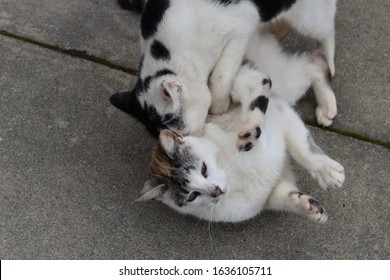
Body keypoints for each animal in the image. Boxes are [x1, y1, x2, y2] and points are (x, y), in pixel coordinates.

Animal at [111, 0, 336, 137]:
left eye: (182, 135)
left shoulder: (239, 30)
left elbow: (219, 76)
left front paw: (219, 104)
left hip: (310, 19)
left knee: (326, 29)